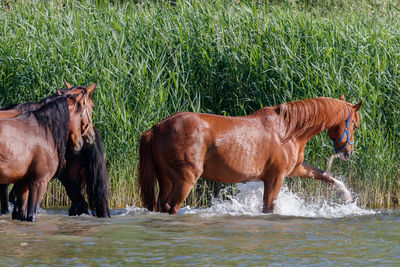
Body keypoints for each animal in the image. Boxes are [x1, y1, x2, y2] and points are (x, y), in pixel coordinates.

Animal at [138, 95, 362, 215]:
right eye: (355, 124)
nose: (348, 152)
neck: (287, 131)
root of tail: (155, 129)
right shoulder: (275, 178)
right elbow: (268, 208)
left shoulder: (296, 169)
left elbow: (325, 176)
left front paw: (347, 197)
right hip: (185, 179)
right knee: (171, 206)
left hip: (166, 179)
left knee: (160, 206)